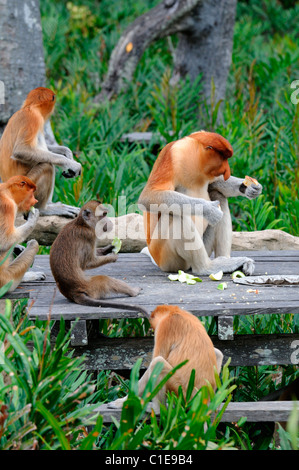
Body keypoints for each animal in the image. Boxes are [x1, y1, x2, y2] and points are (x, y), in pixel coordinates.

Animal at [0, 86, 81, 218]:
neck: (29, 107)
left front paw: (67, 152)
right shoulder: (33, 118)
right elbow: (21, 150)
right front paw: (71, 164)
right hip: (26, 187)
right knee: (46, 166)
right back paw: (44, 209)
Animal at [138, 130, 262, 276]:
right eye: (223, 158)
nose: (227, 172)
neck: (195, 157)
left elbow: (215, 183)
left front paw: (250, 188)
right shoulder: (173, 156)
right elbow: (148, 196)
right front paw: (209, 210)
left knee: (219, 196)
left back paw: (227, 260)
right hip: (166, 257)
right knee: (176, 215)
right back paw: (208, 267)